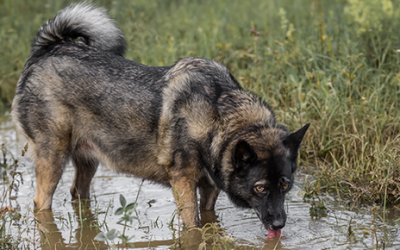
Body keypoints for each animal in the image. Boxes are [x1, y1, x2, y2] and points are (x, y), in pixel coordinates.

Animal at [10, 2, 310, 236]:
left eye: (285, 185)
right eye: (260, 188)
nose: (280, 225)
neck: (217, 116)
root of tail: (49, 49)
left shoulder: (209, 188)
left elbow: (209, 219)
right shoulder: (183, 184)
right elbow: (193, 227)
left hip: (88, 161)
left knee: (77, 195)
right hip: (53, 160)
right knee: (40, 204)